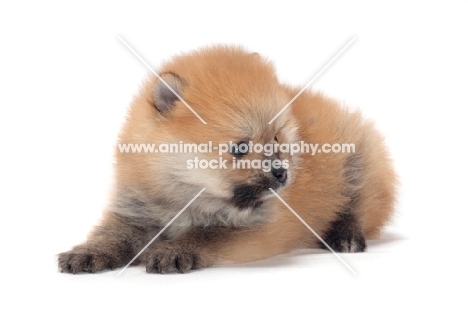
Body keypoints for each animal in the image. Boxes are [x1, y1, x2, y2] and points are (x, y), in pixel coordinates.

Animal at [58, 45, 394, 274]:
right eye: (240, 148)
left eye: (275, 140)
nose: (281, 172)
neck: (190, 197)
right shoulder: (135, 210)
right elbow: (114, 233)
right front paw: (89, 252)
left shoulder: (251, 228)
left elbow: (206, 235)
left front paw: (174, 250)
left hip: (361, 161)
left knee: (359, 207)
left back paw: (345, 235)